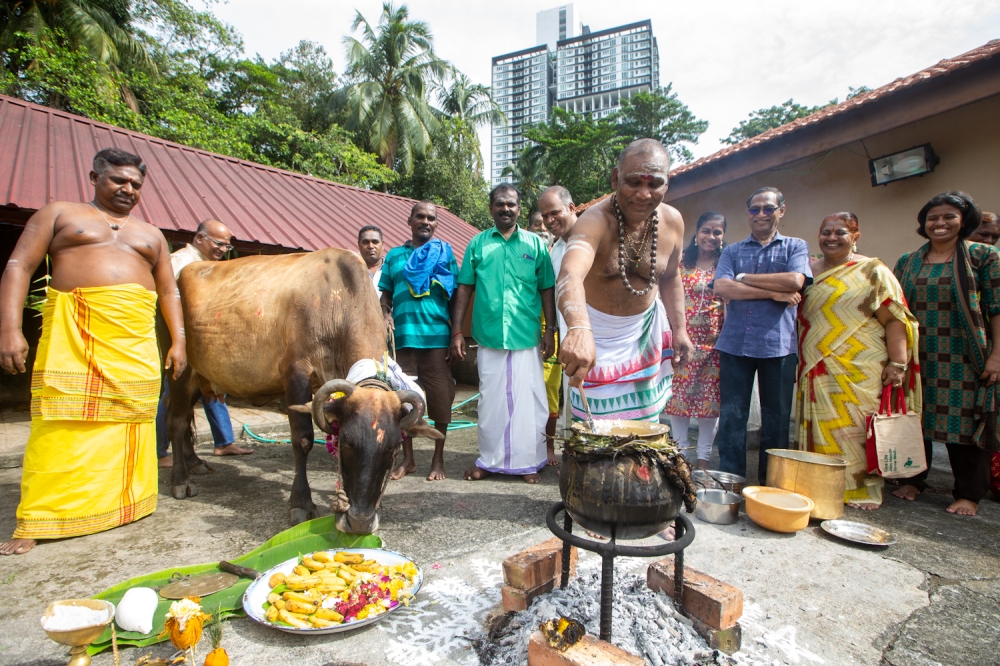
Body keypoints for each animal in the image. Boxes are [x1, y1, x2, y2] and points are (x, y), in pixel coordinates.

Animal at [163, 246, 442, 532]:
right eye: (345, 442)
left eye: (393, 449)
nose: (360, 522)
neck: (336, 302)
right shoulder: (295, 373)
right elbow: (303, 439)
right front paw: (301, 503)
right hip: (180, 370)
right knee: (175, 421)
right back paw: (180, 479)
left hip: (199, 378)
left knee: (185, 417)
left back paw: (195, 463)